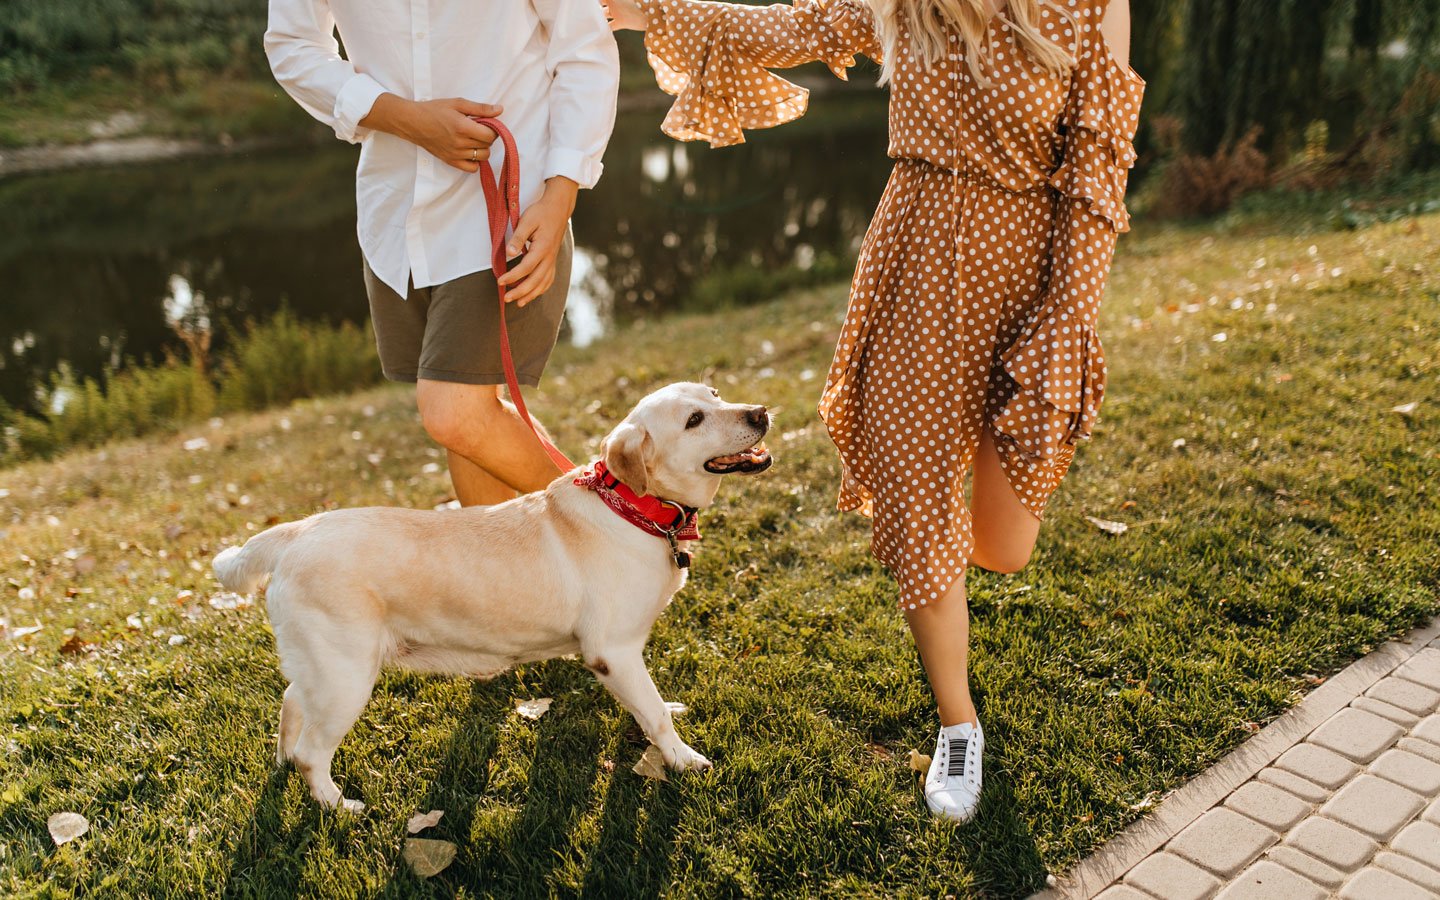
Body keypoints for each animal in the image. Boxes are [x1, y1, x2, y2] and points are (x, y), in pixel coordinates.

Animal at [211, 383, 771, 812]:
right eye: (694, 420)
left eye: (714, 394)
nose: (760, 412)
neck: (635, 506)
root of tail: (294, 532)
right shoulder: (612, 652)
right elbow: (652, 713)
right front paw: (682, 758)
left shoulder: (623, 655)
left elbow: (650, 704)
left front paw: (666, 717)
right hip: (346, 677)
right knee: (313, 751)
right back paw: (337, 806)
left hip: (320, 668)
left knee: (290, 704)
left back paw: (284, 763)